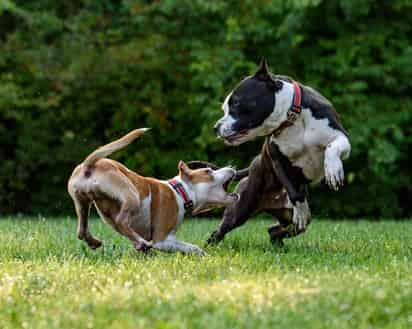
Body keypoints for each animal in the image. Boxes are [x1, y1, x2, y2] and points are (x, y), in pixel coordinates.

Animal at [66, 128, 237, 254]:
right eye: (208, 171)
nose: (232, 168)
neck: (180, 192)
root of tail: (89, 165)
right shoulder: (163, 240)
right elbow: (192, 247)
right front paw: (204, 255)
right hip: (131, 194)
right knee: (121, 221)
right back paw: (141, 243)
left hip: (82, 202)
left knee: (82, 230)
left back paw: (97, 242)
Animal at [204, 58, 350, 243]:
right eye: (224, 108)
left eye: (236, 103)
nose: (216, 127)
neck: (292, 118)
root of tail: (252, 165)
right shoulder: (277, 160)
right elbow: (294, 192)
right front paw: (300, 209)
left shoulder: (340, 136)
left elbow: (333, 147)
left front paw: (333, 170)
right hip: (241, 207)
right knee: (220, 231)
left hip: (285, 216)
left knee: (276, 230)